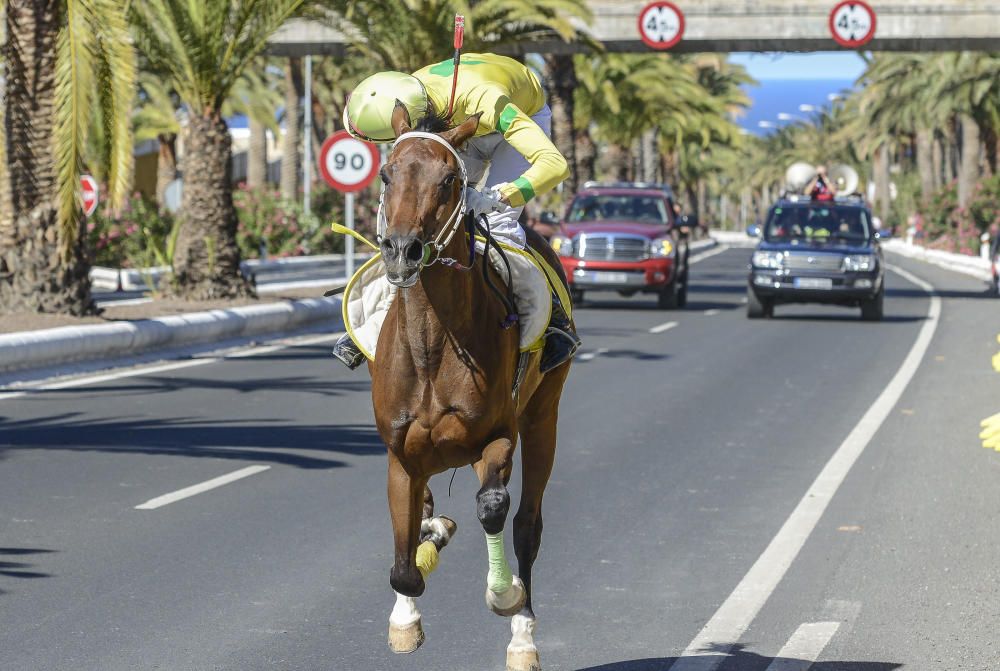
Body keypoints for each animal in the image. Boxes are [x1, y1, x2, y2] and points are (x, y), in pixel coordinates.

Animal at [368, 101, 576, 671]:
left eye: (450, 181)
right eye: (386, 173)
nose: (402, 249)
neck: (433, 344)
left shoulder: (498, 435)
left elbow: (493, 507)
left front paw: (504, 595)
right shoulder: (401, 452)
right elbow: (404, 554)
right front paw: (405, 617)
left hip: (544, 415)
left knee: (527, 524)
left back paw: (523, 634)